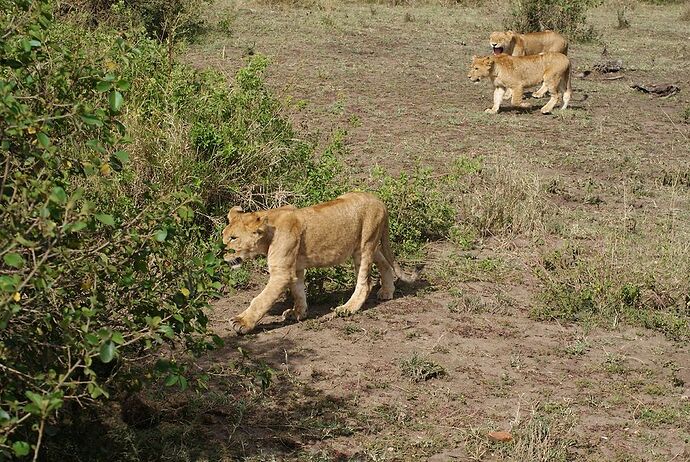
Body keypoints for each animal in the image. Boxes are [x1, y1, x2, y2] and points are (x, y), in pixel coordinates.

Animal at [223, 189, 412, 334]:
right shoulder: (295, 268)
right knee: (385, 262)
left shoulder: (281, 273)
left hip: (365, 244)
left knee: (365, 282)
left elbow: (260, 300)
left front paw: (242, 322)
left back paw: (348, 308)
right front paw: (298, 313)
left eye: (233, 238)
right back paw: (387, 291)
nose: (222, 255)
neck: (268, 232)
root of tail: (379, 201)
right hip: (365, 245)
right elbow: (298, 291)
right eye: (224, 236)